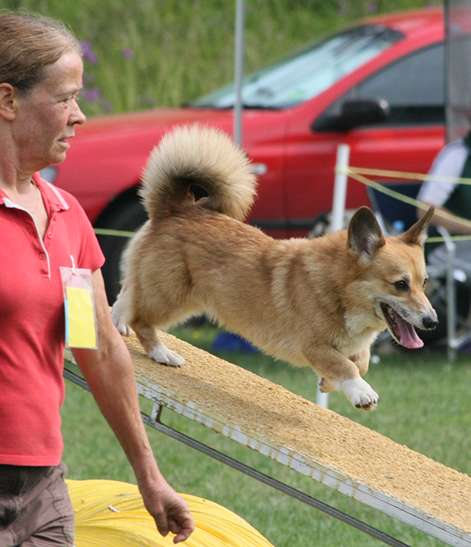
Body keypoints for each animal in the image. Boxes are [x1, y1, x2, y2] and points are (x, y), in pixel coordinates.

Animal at [112, 124, 438, 410]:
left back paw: (118, 324)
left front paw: (327, 384)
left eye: (424, 283)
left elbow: (362, 361)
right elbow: (346, 365)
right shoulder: (314, 346)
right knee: (143, 320)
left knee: (126, 294)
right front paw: (361, 392)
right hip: (172, 297)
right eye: (400, 284)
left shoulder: (351, 347)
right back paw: (162, 353)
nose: (432, 322)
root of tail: (176, 207)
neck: (339, 290)